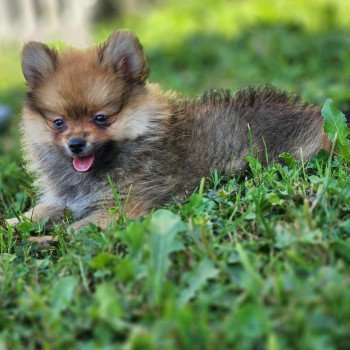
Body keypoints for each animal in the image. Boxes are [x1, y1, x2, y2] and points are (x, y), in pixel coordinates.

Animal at [6, 30, 332, 231]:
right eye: (58, 122)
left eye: (101, 118)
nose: (75, 144)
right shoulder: (61, 201)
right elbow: (34, 214)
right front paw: (10, 225)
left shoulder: (123, 208)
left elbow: (74, 230)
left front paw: (46, 239)